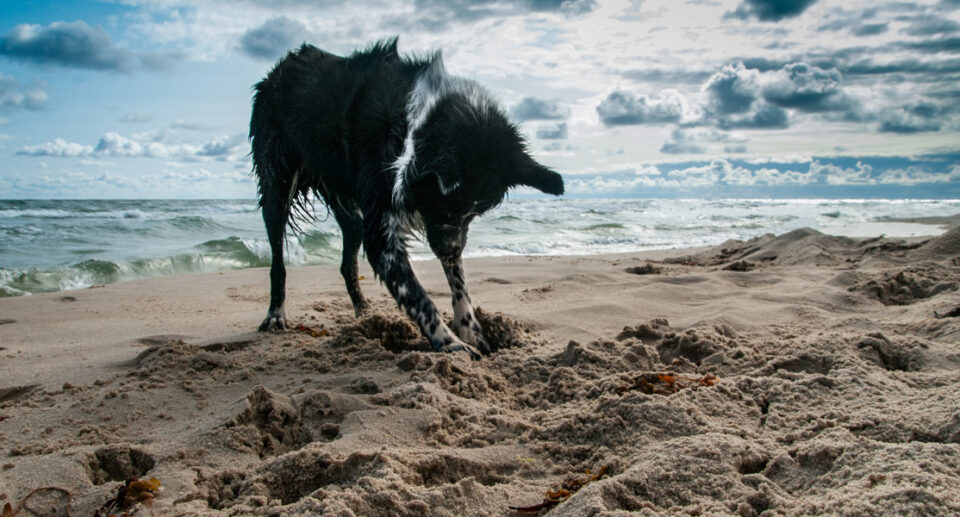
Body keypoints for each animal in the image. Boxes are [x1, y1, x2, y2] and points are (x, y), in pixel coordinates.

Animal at [249, 38, 564, 358]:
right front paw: (451, 343)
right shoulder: (383, 231)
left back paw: (363, 312)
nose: (451, 252)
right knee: (278, 258)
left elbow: (459, 282)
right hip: (278, 182)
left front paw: (471, 329)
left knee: (350, 239)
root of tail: (282, 66)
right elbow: (418, 296)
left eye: (477, 212)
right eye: (443, 205)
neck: (413, 124)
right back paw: (275, 314)